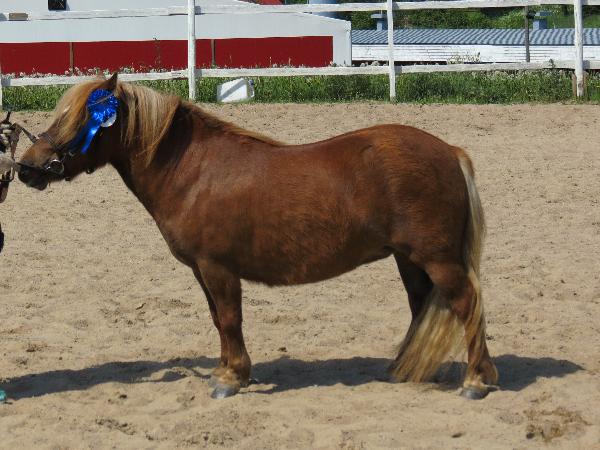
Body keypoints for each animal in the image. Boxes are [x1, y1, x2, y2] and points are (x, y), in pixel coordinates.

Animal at [18, 73, 498, 399]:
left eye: (80, 119)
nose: (27, 167)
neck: (193, 171)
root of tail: (450, 152)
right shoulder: (202, 271)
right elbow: (218, 320)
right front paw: (225, 371)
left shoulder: (218, 268)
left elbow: (231, 320)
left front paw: (232, 378)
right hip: (409, 260)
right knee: (422, 307)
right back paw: (408, 368)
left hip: (437, 259)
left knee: (467, 304)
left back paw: (476, 380)